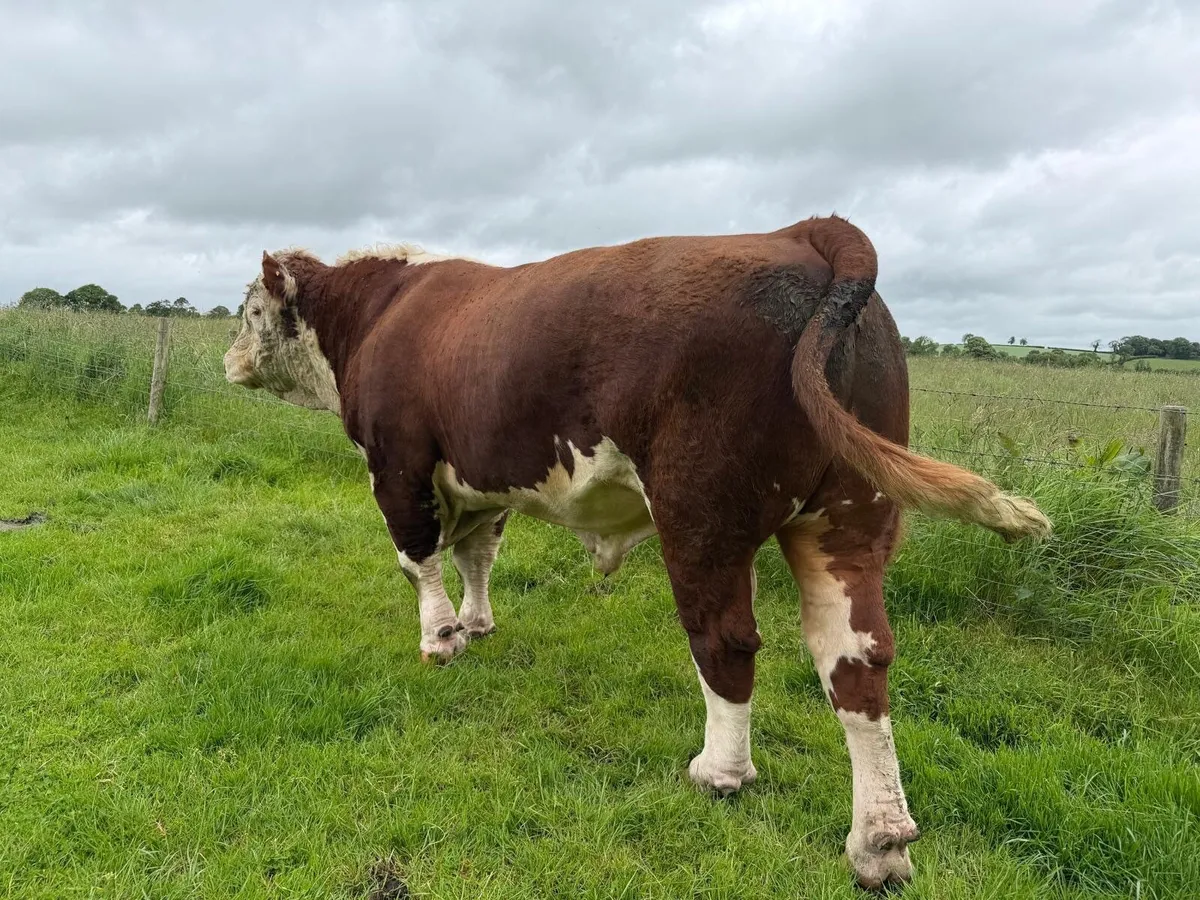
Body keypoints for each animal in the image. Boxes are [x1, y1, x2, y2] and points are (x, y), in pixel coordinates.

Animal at [223, 215, 1050, 889]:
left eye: (249, 308)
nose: (227, 361)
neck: (380, 310)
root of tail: (805, 232)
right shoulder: (481, 476)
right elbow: (477, 557)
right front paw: (477, 624)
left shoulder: (398, 466)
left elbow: (420, 561)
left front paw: (441, 639)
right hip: (849, 513)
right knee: (857, 657)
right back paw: (880, 841)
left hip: (702, 515)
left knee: (727, 641)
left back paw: (720, 773)